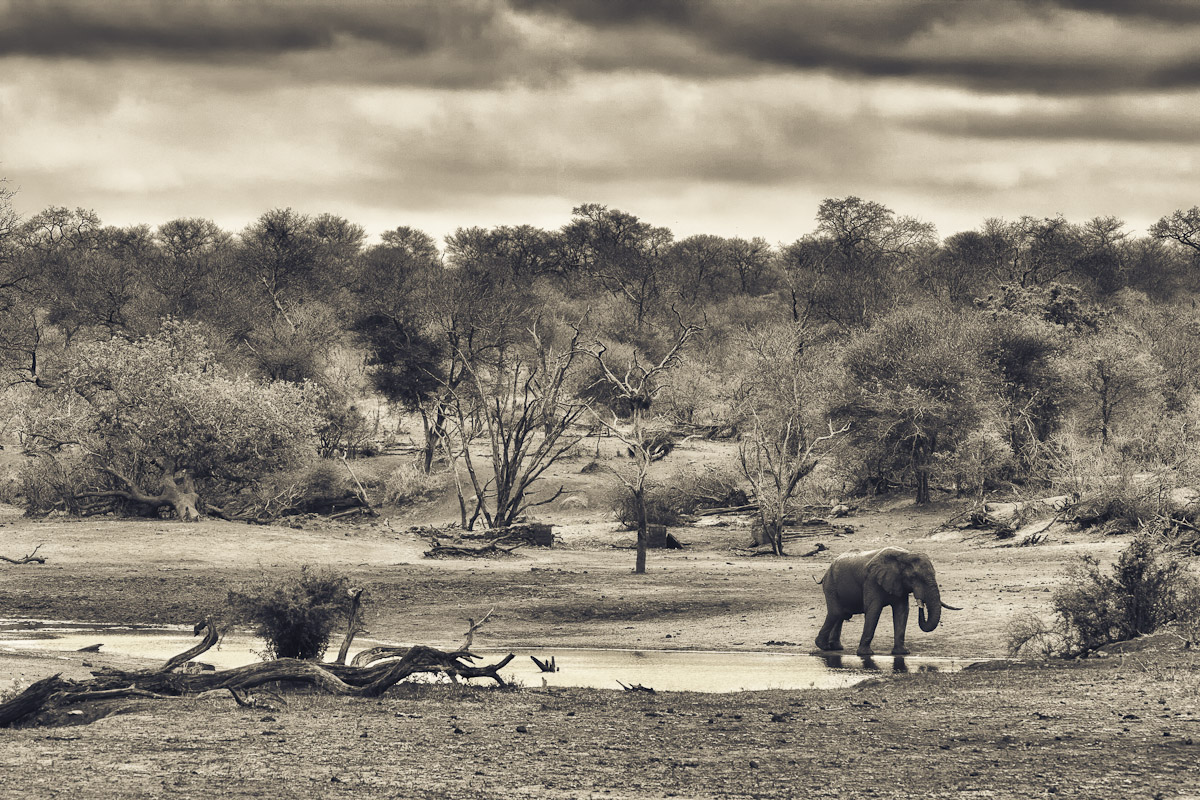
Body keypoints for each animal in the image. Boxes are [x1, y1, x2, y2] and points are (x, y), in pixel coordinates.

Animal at [815, 547, 960, 657]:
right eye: (914, 577)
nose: (921, 603)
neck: (904, 555)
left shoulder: (899, 583)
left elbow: (902, 611)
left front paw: (902, 653)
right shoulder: (872, 580)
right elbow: (874, 610)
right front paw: (866, 654)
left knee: (841, 615)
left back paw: (836, 647)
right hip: (830, 585)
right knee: (836, 613)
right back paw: (824, 646)